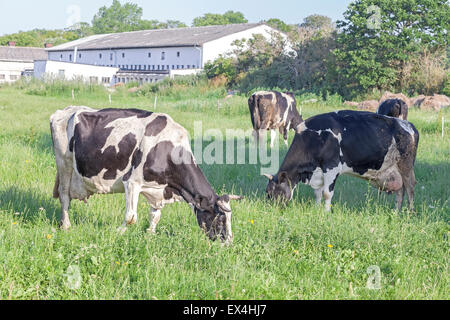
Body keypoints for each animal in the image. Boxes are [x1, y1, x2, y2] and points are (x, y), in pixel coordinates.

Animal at [50, 106, 243, 244]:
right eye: (220, 218)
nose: (228, 243)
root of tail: (64, 111)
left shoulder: (158, 189)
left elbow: (155, 216)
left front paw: (149, 235)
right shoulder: (132, 182)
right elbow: (131, 217)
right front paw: (118, 232)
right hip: (64, 164)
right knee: (64, 196)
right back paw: (66, 225)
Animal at [264, 109, 418, 211]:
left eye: (273, 193)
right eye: (267, 193)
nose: (271, 210)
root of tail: (409, 125)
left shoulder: (332, 167)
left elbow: (327, 194)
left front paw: (326, 213)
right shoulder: (318, 171)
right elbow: (317, 193)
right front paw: (317, 209)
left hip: (406, 166)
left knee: (410, 189)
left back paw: (409, 213)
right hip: (394, 170)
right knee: (400, 191)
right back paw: (396, 213)